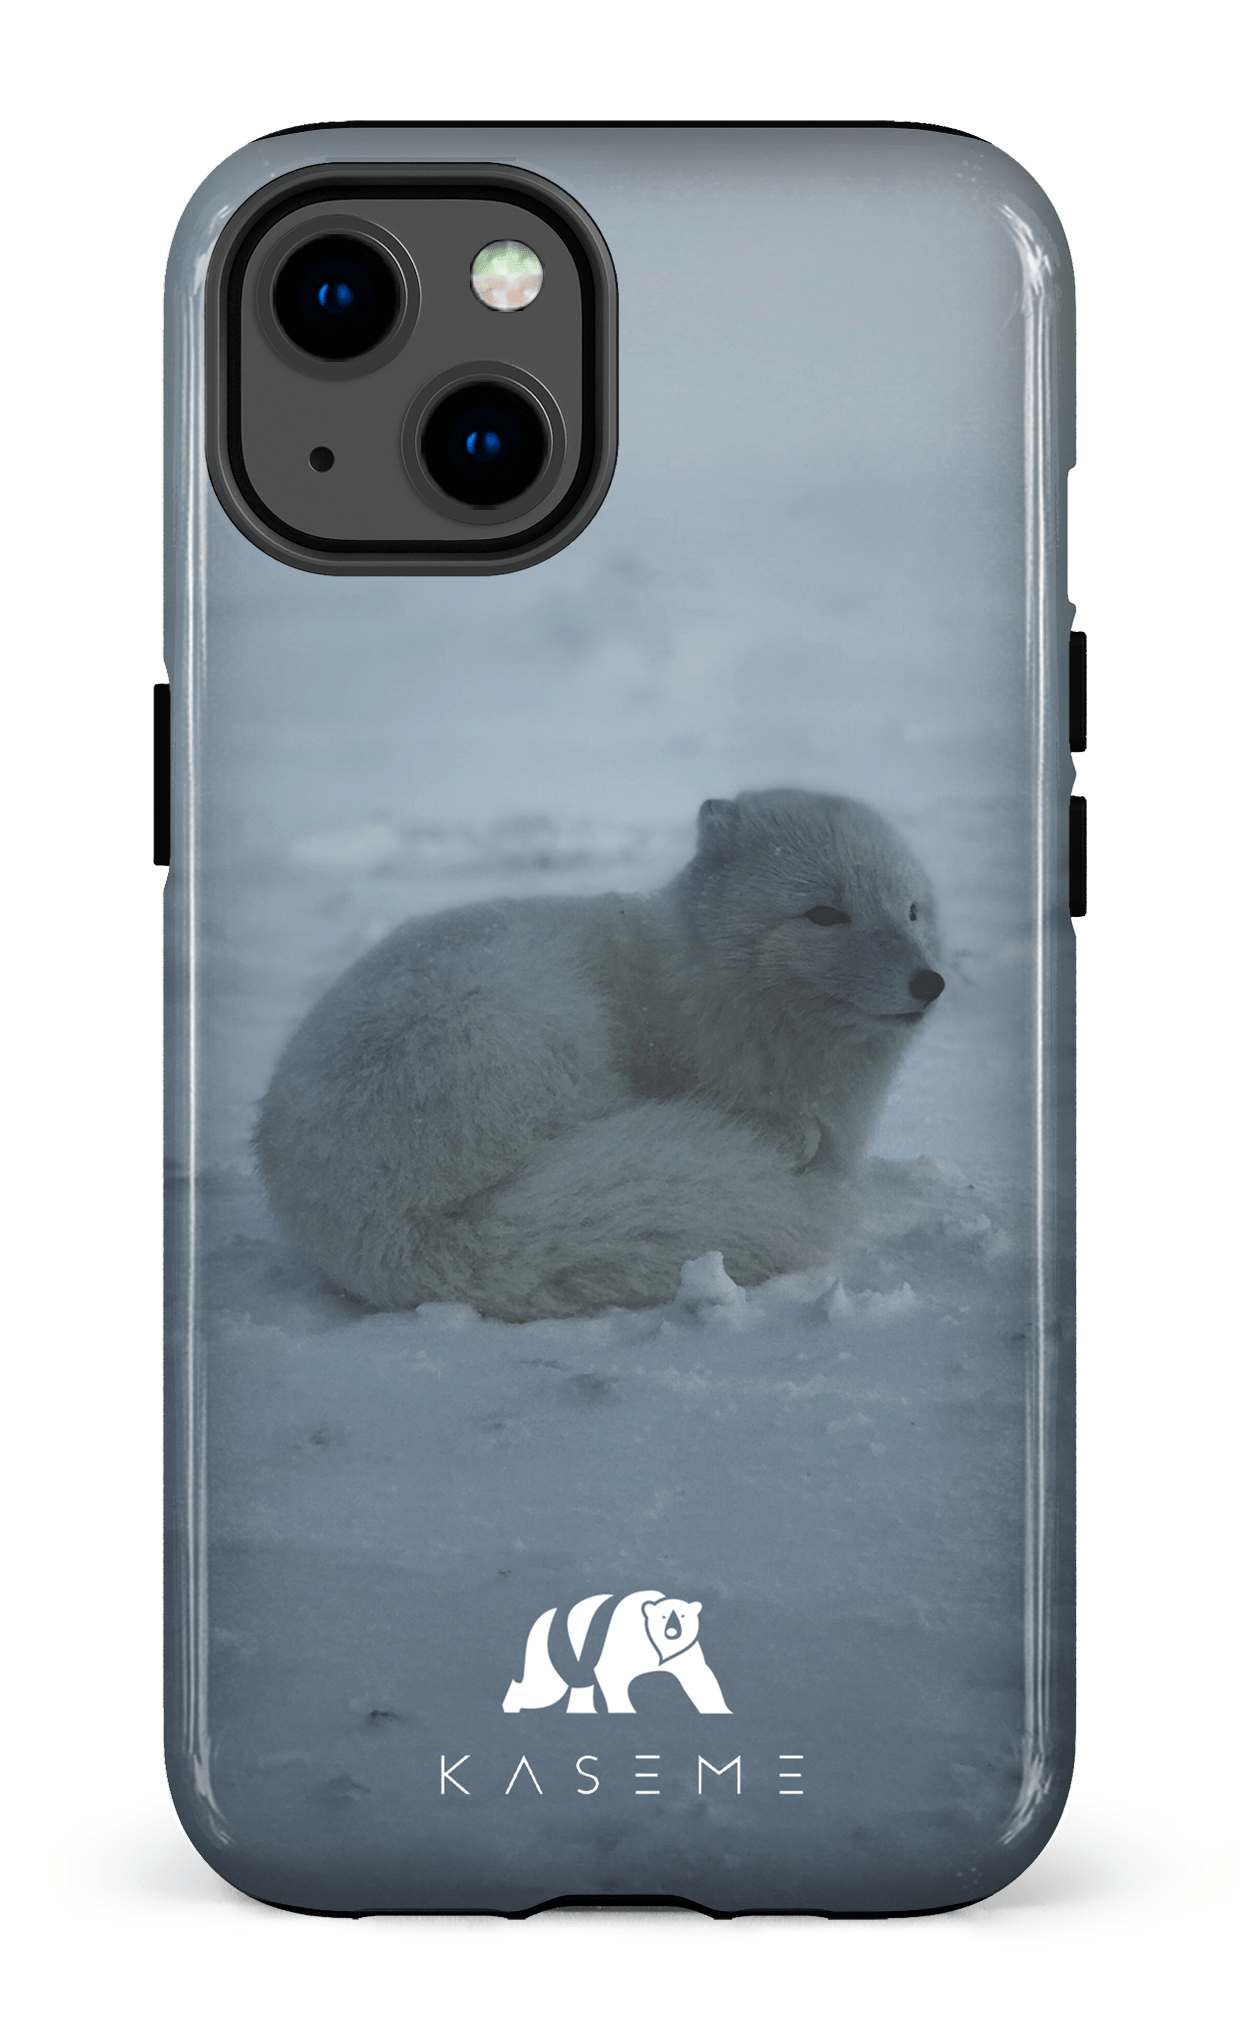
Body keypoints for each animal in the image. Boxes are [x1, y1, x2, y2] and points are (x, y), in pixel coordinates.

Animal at [255, 789, 945, 1320]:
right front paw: (790, 1137)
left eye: (911, 910)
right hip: (533, 1028)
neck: (702, 984)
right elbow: (796, 1130)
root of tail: (395, 1230)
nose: (930, 982)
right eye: (824, 914)